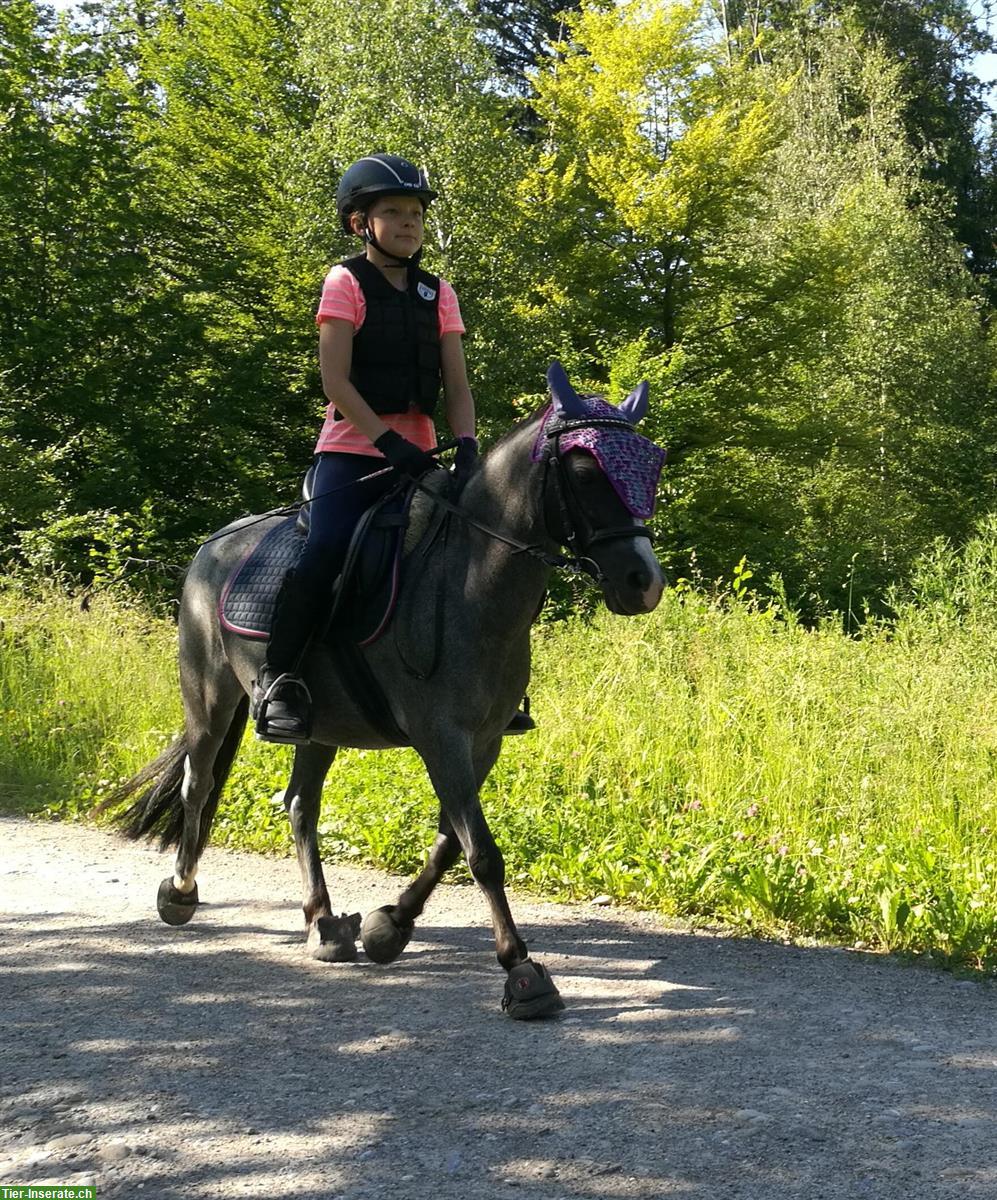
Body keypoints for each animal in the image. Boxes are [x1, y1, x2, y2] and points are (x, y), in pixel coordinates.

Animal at [107, 360, 662, 1017]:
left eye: (651, 466)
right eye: (583, 469)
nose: (643, 581)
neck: (470, 580)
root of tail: (211, 546)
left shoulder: (483, 741)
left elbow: (451, 840)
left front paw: (389, 925)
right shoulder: (440, 736)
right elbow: (482, 852)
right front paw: (521, 971)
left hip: (317, 724)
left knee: (299, 804)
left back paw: (323, 922)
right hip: (208, 697)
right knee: (199, 784)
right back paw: (182, 891)